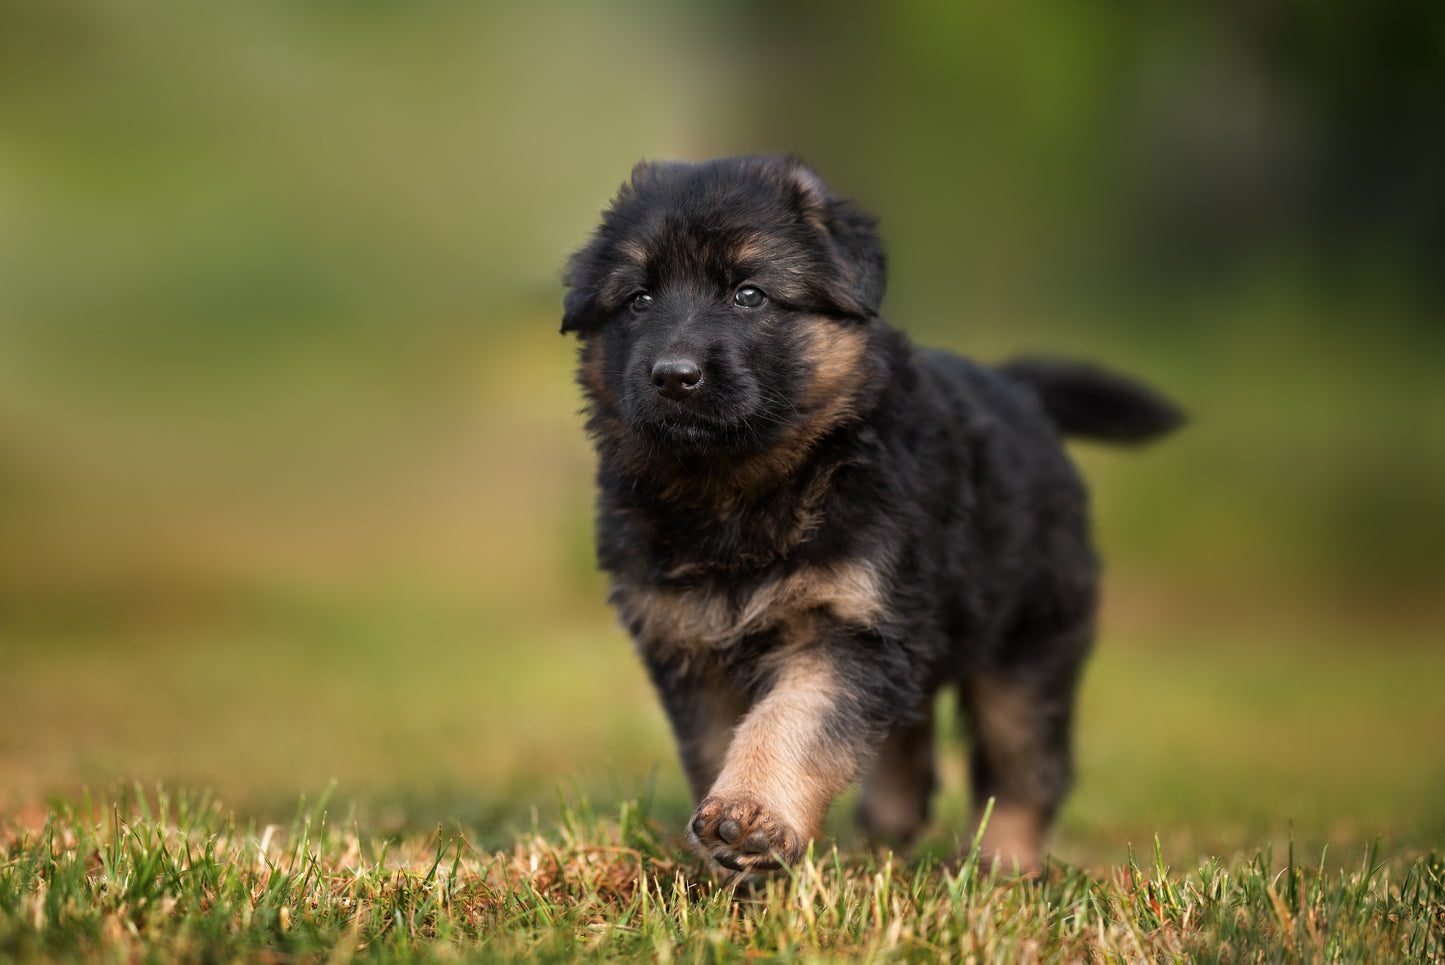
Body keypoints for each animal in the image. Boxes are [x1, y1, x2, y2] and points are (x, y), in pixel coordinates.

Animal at [557, 154, 1179, 872]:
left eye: (750, 295)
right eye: (639, 300)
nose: (673, 375)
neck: (739, 488)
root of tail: (1022, 395)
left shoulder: (846, 625)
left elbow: (791, 720)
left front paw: (753, 814)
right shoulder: (690, 642)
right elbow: (717, 740)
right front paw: (726, 851)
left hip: (1026, 645)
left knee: (1026, 761)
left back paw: (1002, 864)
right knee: (911, 732)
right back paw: (890, 824)